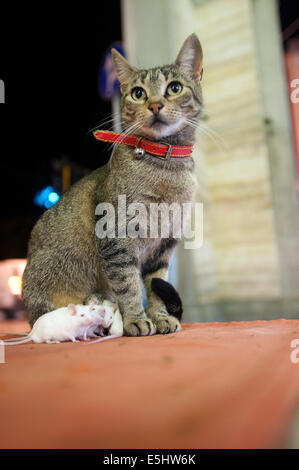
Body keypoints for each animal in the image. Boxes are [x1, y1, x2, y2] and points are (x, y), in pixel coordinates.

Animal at [21, 33, 204, 334]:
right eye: (138, 93)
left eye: (174, 88)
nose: (155, 105)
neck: (165, 167)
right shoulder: (115, 238)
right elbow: (128, 285)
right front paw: (136, 320)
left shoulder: (163, 246)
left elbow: (155, 287)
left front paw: (160, 317)